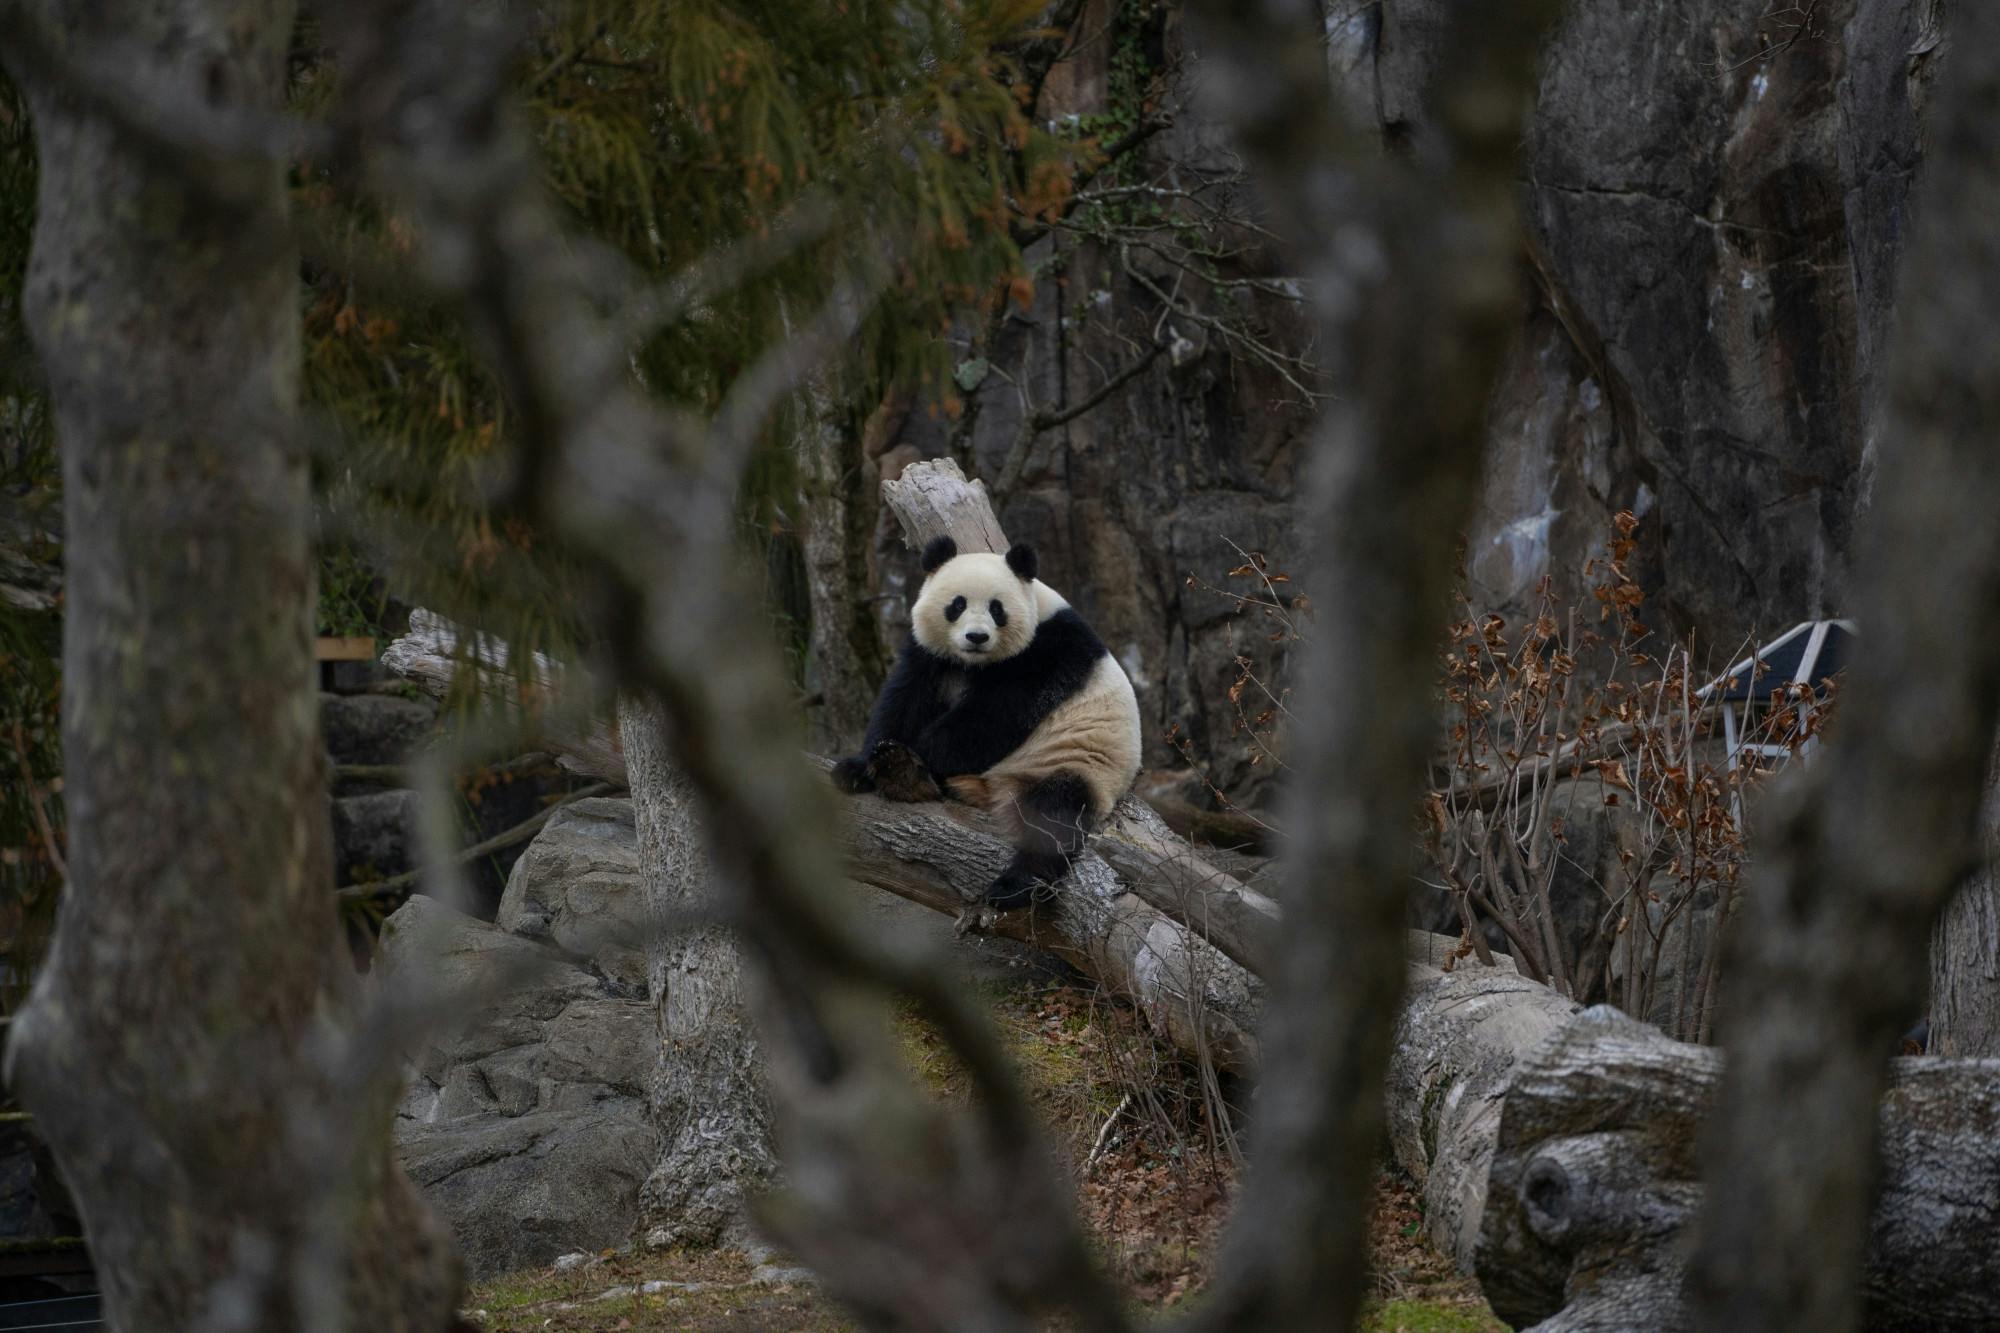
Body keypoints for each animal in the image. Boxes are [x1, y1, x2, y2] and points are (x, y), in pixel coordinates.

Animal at [831, 535, 1142, 910]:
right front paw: (861, 767)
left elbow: (988, 722)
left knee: (1054, 815)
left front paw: (913, 757)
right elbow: (904, 699)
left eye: (997, 608)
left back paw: (1013, 886)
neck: (974, 663)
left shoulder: (1044, 656)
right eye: (957, 604)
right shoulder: (930, 653)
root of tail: (998, 790)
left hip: (1077, 763)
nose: (977, 637)